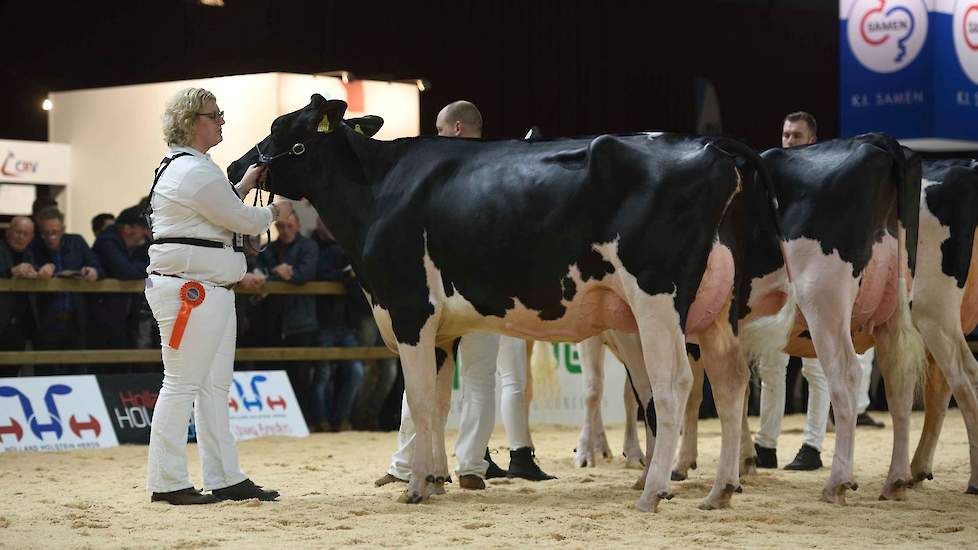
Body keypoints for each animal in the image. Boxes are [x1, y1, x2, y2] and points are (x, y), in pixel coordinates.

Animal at [227, 95, 776, 512]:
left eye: (281, 129)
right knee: (730, 382)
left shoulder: (409, 310)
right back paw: (720, 490)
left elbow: (420, 400)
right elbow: (440, 402)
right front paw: (438, 479)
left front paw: (415, 487)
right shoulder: (442, 328)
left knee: (674, 384)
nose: (234, 164)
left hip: (657, 298)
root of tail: (709, 144)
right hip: (716, 308)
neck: (380, 192)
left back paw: (654, 492)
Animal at [572, 134, 924, 504]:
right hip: (890, 311)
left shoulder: (634, 327)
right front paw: (734, 463)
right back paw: (897, 480)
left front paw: (648, 467)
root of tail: (875, 141)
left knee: (850, 377)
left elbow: (636, 392)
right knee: (900, 381)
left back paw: (839, 483)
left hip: (826, 302)